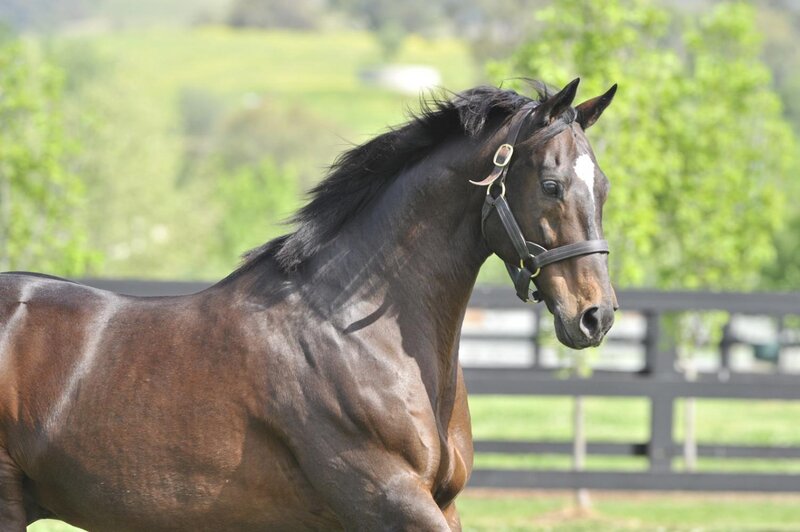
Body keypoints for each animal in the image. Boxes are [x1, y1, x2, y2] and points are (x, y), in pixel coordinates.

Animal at [0, 78, 617, 531]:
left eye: (603, 187)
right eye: (552, 184)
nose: (597, 316)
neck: (354, 333)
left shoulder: (441, 503)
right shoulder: (390, 499)